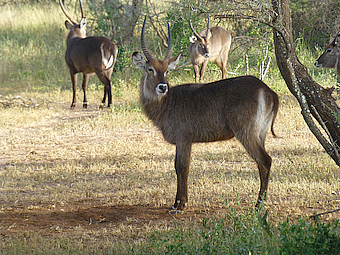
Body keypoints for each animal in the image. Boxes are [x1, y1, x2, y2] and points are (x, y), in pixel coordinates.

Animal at [131, 17, 278, 212]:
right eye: (150, 69)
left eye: (166, 70)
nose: (162, 87)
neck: (167, 102)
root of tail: (268, 90)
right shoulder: (183, 141)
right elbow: (179, 167)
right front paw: (177, 202)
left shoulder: (183, 138)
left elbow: (182, 167)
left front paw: (181, 204)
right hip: (261, 133)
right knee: (264, 162)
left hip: (246, 132)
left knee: (265, 160)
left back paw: (259, 205)